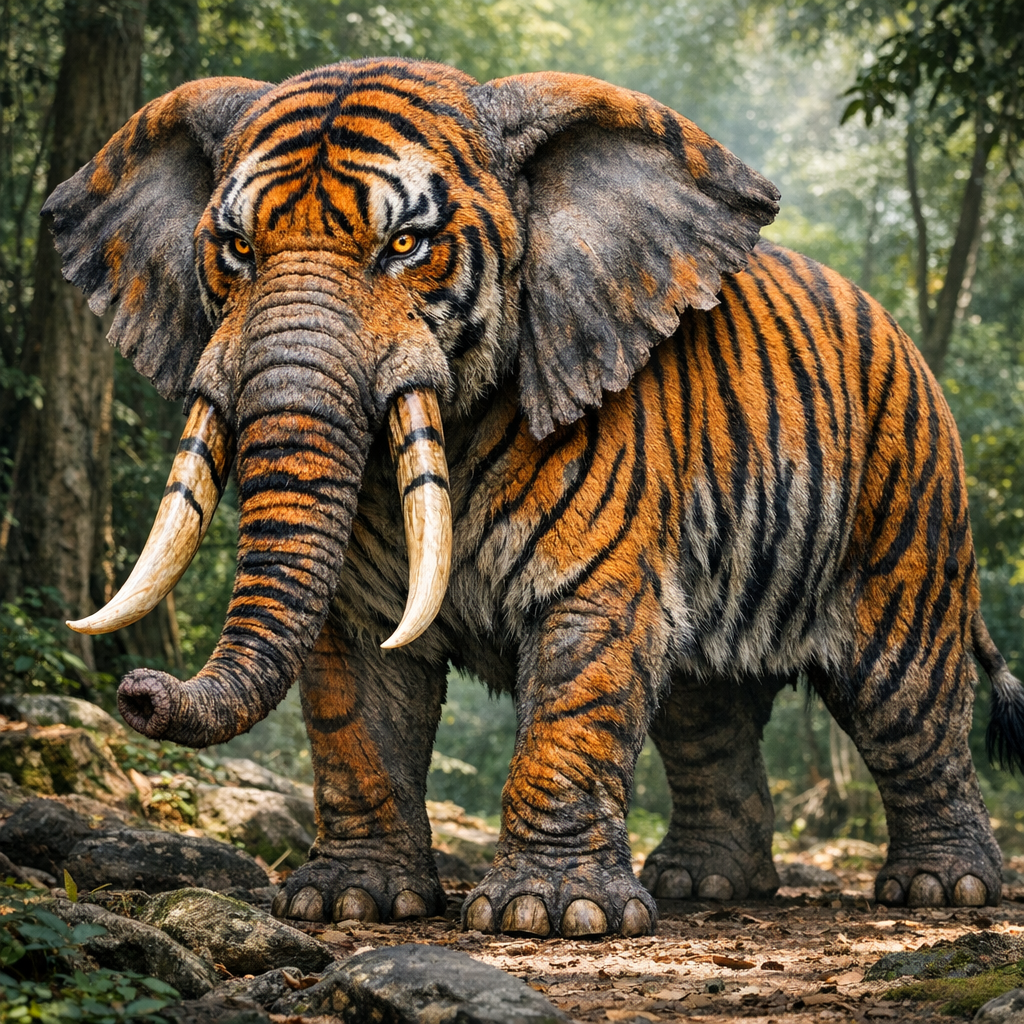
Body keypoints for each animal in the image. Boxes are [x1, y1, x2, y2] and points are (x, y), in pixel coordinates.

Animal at [47, 57, 1024, 938]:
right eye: (238, 249)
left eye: (404, 245)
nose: (138, 689)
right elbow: (354, 698)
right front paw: (350, 902)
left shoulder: (599, 561)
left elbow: (574, 693)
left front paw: (550, 914)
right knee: (706, 713)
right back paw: (704, 887)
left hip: (911, 525)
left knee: (906, 703)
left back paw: (945, 892)